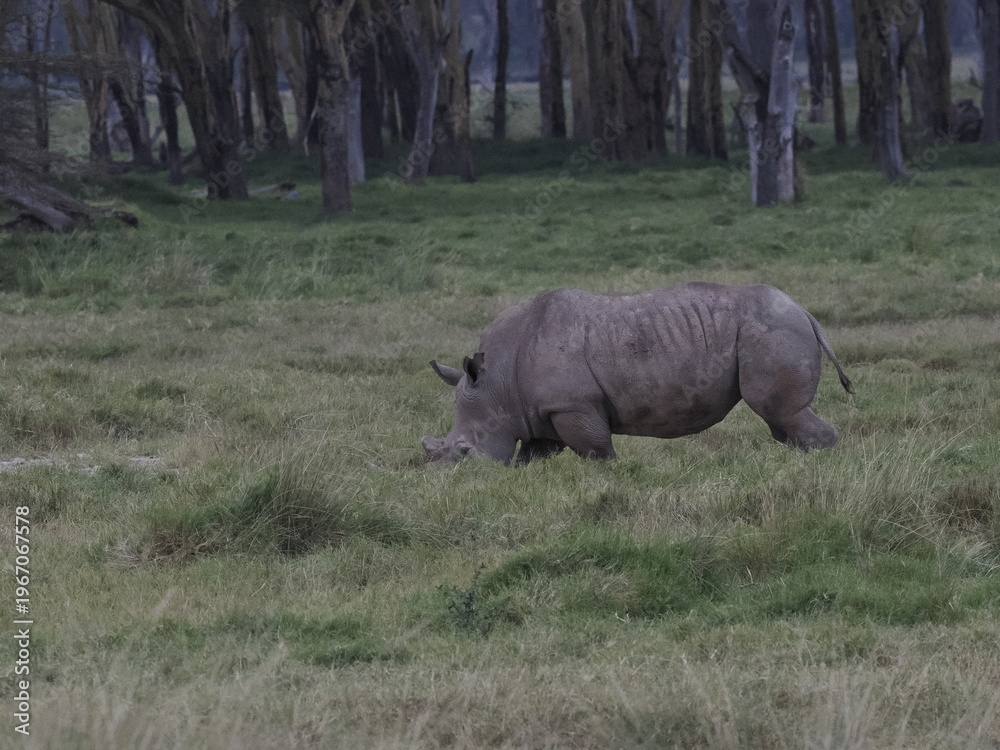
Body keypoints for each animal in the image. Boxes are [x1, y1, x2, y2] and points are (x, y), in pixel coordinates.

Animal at [422, 283, 853, 464]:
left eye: (464, 452)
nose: (445, 478)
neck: (496, 384)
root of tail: (804, 311)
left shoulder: (572, 405)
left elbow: (596, 450)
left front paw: (611, 473)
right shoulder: (538, 412)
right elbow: (532, 455)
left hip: (772, 330)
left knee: (776, 410)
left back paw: (816, 466)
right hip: (772, 329)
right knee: (780, 420)